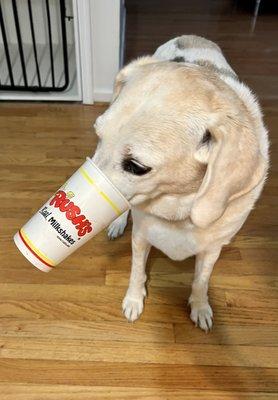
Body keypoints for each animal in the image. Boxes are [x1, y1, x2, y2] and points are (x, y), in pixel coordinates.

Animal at [92, 36, 268, 332]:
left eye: (136, 166)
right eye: (99, 135)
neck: (179, 211)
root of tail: (192, 37)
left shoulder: (212, 250)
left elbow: (201, 280)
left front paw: (200, 306)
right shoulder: (140, 237)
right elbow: (137, 272)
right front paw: (133, 300)